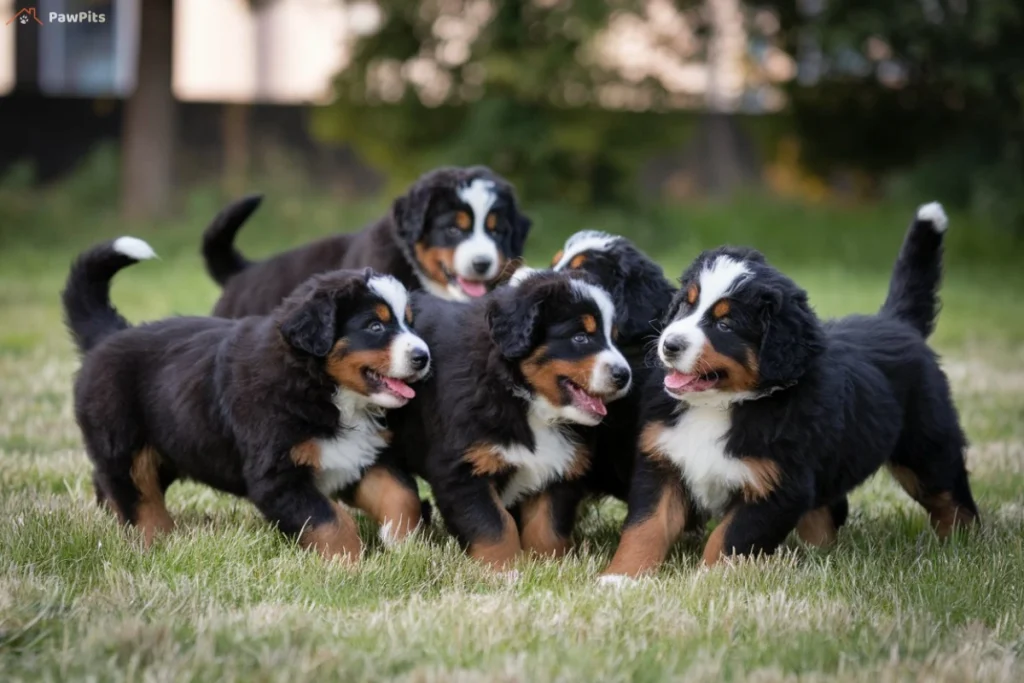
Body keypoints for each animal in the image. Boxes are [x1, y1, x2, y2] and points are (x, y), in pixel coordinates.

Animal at [62, 237, 432, 565]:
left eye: (410, 323)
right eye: (374, 326)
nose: (423, 356)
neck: (323, 389)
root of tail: (108, 335)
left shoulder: (358, 456)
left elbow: (402, 494)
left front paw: (401, 542)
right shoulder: (277, 477)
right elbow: (331, 521)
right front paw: (349, 567)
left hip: (171, 447)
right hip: (124, 445)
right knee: (138, 498)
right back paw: (157, 542)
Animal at [385, 270, 630, 569]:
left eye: (614, 338)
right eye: (581, 337)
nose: (624, 375)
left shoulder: (558, 469)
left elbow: (547, 529)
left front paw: (546, 566)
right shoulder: (462, 469)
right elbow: (495, 528)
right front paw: (504, 570)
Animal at [602, 204, 978, 581]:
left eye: (725, 324)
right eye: (685, 306)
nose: (669, 344)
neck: (722, 404)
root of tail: (896, 322)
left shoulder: (778, 487)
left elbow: (727, 539)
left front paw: (709, 581)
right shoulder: (663, 462)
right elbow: (645, 526)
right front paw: (620, 578)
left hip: (927, 447)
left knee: (952, 498)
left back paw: (963, 547)